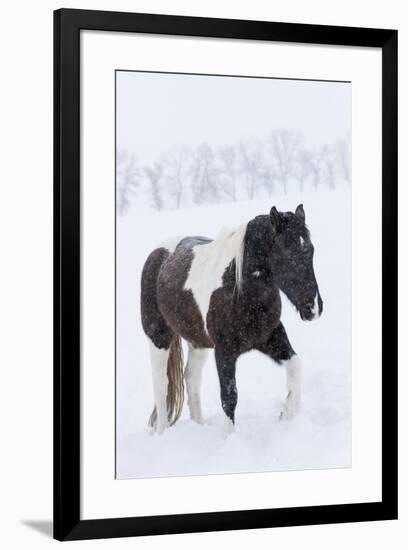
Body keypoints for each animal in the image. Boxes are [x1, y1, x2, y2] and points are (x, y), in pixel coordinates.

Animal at [142, 205, 324, 438]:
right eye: (286, 253)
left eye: (310, 250)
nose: (314, 308)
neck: (239, 290)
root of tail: (159, 253)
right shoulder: (224, 352)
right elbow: (229, 397)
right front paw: (230, 438)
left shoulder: (271, 338)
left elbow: (296, 366)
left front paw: (287, 413)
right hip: (158, 338)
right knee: (161, 384)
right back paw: (162, 432)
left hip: (198, 342)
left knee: (191, 379)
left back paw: (199, 425)